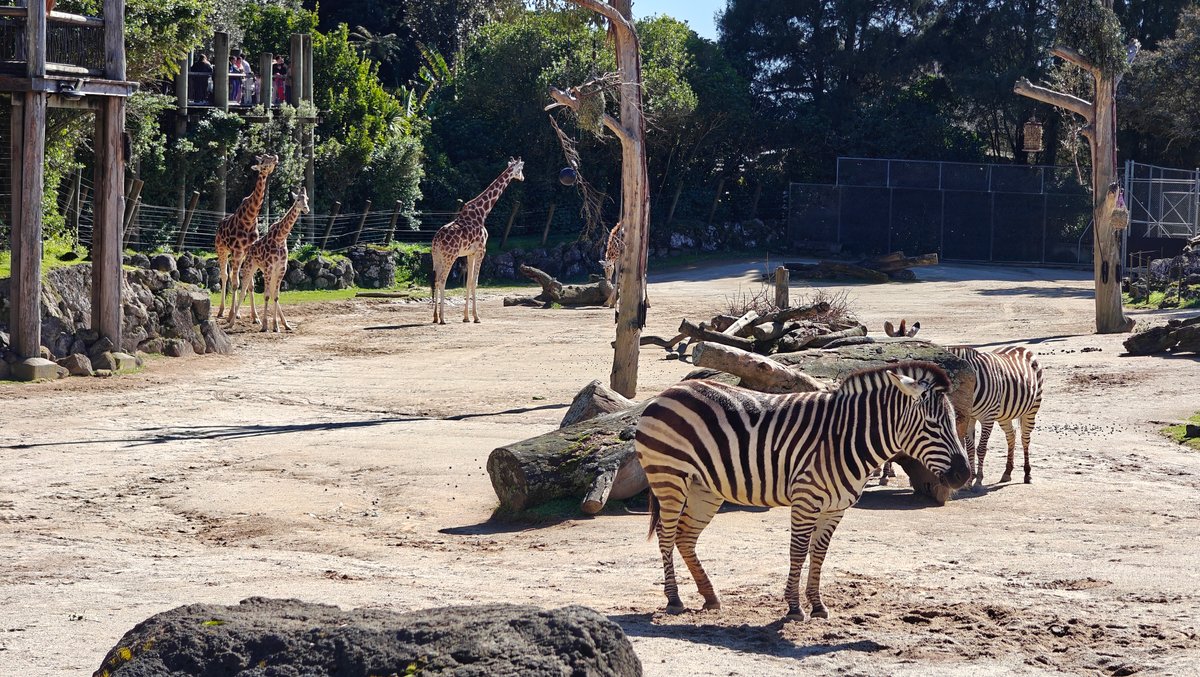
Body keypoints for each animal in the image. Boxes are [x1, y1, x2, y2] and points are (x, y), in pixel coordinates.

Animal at [635, 361, 970, 619]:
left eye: (954, 421)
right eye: (931, 424)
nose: (964, 475)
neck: (845, 439)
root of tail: (667, 392)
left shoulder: (836, 507)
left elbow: (818, 553)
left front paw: (818, 605)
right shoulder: (805, 499)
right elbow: (798, 550)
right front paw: (795, 608)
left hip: (705, 489)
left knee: (685, 537)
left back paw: (710, 597)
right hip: (669, 477)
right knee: (666, 535)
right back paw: (674, 600)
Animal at [880, 346, 1043, 492]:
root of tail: (1023, 349)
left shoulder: (987, 417)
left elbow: (981, 448)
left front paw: (978, 481)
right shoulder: (970, 417)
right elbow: (970, 448)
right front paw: (969, 481)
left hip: (1032, 408)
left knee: (1025, 438)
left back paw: (1027, 474)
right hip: (1004, 415)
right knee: (1011, 435)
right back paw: (1007, 473)